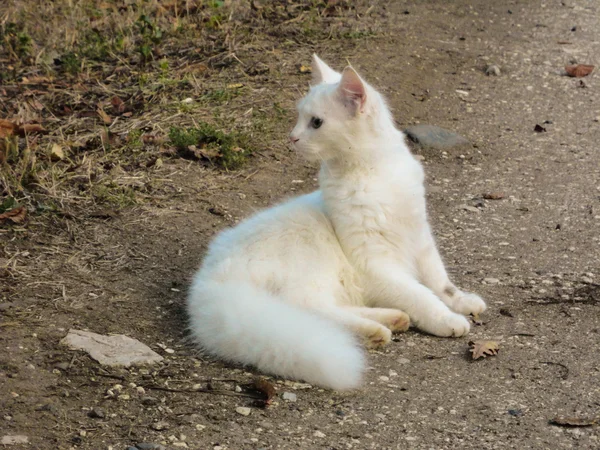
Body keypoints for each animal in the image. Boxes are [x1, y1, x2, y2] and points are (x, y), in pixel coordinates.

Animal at [188, 54, 488, 388]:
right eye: (300, 118)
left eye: (315, 122)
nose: (291, 138)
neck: (372, 172)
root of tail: (208, 280)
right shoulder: (375, 264)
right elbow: (421, 295)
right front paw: (447, 319)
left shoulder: (421, 241)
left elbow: (442, 284)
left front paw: (463, 302)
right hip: (311, 266)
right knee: (310, 313)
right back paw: (377, 330)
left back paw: (390, 319)